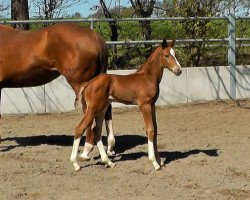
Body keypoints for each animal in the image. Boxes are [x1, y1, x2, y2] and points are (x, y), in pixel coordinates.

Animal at [70, 39, 182, 170]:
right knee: (80, 128)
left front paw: (160, 161)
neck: (147, 78)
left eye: (175, 54)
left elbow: (155, 130)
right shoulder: (144, 105)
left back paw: (109, 162)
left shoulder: (152, 105)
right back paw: (76, 164)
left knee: (96, 130)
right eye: (166, 55)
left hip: (102, 108)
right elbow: (150, 130)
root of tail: (88, 83)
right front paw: (154, 162)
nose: (179, 70)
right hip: (93, 108)